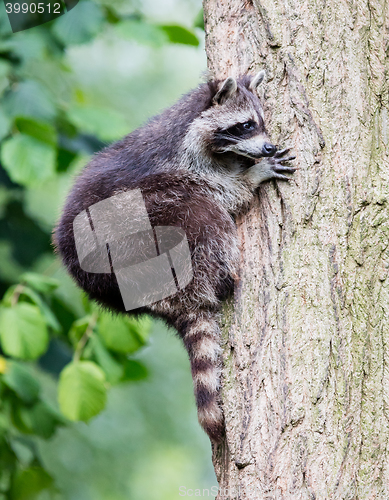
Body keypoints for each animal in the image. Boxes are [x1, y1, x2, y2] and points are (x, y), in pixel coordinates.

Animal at [55, 70, 294, 442]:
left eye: (261, 123)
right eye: (245, 125)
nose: (267, 147)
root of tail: (164, 299)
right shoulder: (183, 163)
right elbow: (222, 193)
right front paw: (250, 176)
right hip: (135, 239)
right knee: (197, 209)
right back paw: (226, 271)